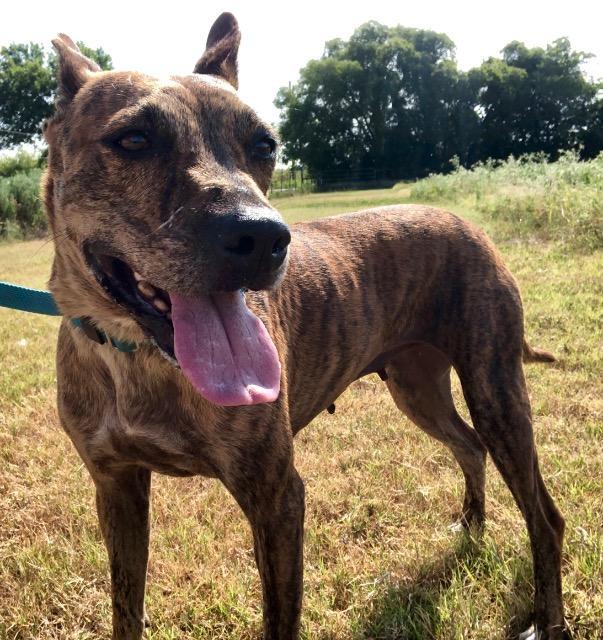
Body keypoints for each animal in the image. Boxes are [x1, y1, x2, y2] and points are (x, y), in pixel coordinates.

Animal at [42, 11, 568, 640]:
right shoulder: (116, 486)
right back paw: (471, 528)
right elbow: (126, 606)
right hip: (418, 388)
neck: (135, 358)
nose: (263, 236)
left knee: (545, 516)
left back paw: (549, 618)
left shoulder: (276, 496)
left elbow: (280, 617)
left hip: (496, 389)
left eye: (264, 145)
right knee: (469, 445)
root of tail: (464, 221)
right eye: (134, 140)